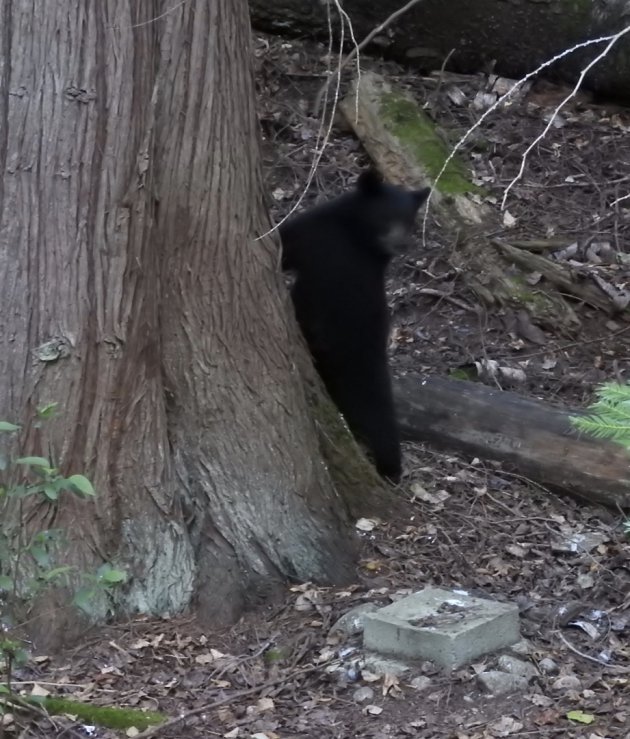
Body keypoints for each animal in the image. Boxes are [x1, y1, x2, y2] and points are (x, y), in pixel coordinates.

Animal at [282, 168, 434, 482]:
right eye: (387, 216)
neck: (356, 238)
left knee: (380, 418)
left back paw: (390, 469)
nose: (403, 243)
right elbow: (286, 243)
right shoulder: (313, 232)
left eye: (410, 221)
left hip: (364, 369)